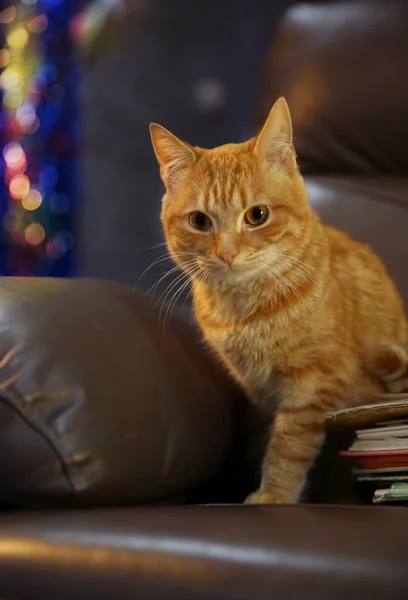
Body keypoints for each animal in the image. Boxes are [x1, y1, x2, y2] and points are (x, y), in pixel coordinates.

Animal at [151, 101, 408, 504]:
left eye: (257, 215)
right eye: (199, 221)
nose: (227, 253)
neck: (247, 312)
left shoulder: (314, 382)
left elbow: (289, 444)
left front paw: (274, 493)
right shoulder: (258, 390)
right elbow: (266, 438)